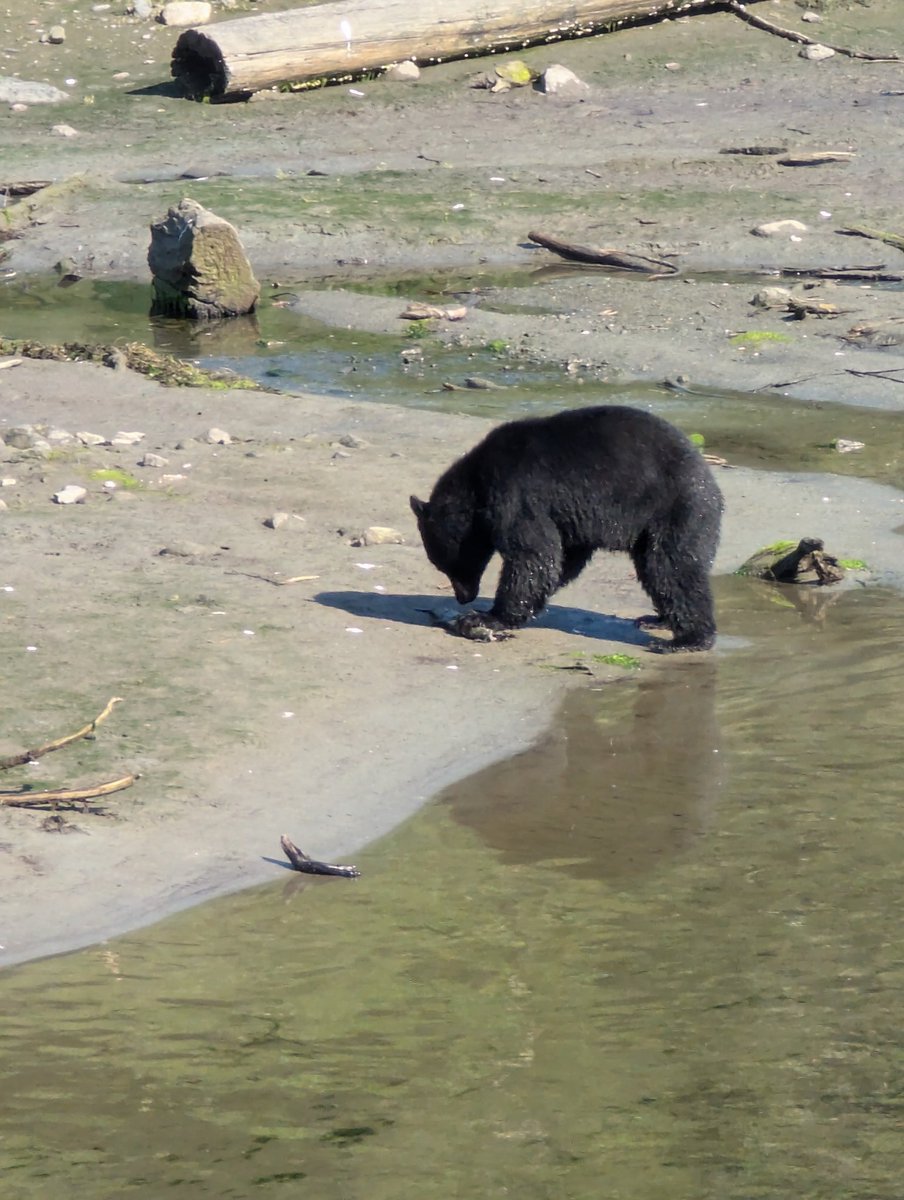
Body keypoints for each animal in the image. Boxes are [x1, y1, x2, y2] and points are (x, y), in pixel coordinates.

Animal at [410, 405, 722, 652]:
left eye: (444, 564)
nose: (464, 597)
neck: (476, 487)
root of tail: (712, 484)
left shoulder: (516, 494)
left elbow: (532, 553)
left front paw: (488, 616)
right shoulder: (568, 517)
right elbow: (561, 557)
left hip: (676, 511)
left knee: (672, 567)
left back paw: (688, 639)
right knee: (654, 569)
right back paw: (656, 619)